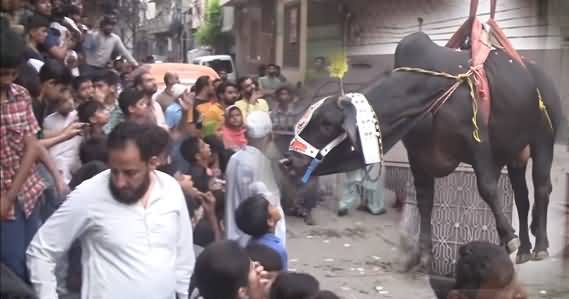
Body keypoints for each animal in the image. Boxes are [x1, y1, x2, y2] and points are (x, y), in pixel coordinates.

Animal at [284, 32, 564, 270]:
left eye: (326, 123)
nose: (289, 160)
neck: (427, 93)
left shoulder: (478, 144)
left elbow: (487, 188)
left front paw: (508, 237)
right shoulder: (418, 158)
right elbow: (424, 201)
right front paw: (425, 254)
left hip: (542, 139)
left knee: (541, 188)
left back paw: (539, 246)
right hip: (516, 154)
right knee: (522, 198)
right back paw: (526, 250)